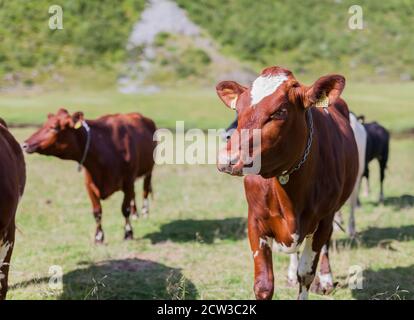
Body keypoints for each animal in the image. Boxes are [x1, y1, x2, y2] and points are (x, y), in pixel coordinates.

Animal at [23, 109, 157, 244]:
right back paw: (135, 214)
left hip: (149, 169)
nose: (25, 144)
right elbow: (97, 212)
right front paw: (98, 237)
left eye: (54, 127)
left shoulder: (128, 181)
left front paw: (128, 233)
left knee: (145, 190)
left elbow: (125, 209)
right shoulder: (89, 184)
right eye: (44, 124)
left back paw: (145, 212)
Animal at [217, 66, 360, 298]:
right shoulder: (255, 220)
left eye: (279, 112)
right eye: (238, 110)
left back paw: (326, 279)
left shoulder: (324, 219)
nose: (227, 159)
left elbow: (307, 274)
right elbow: (264, 283)